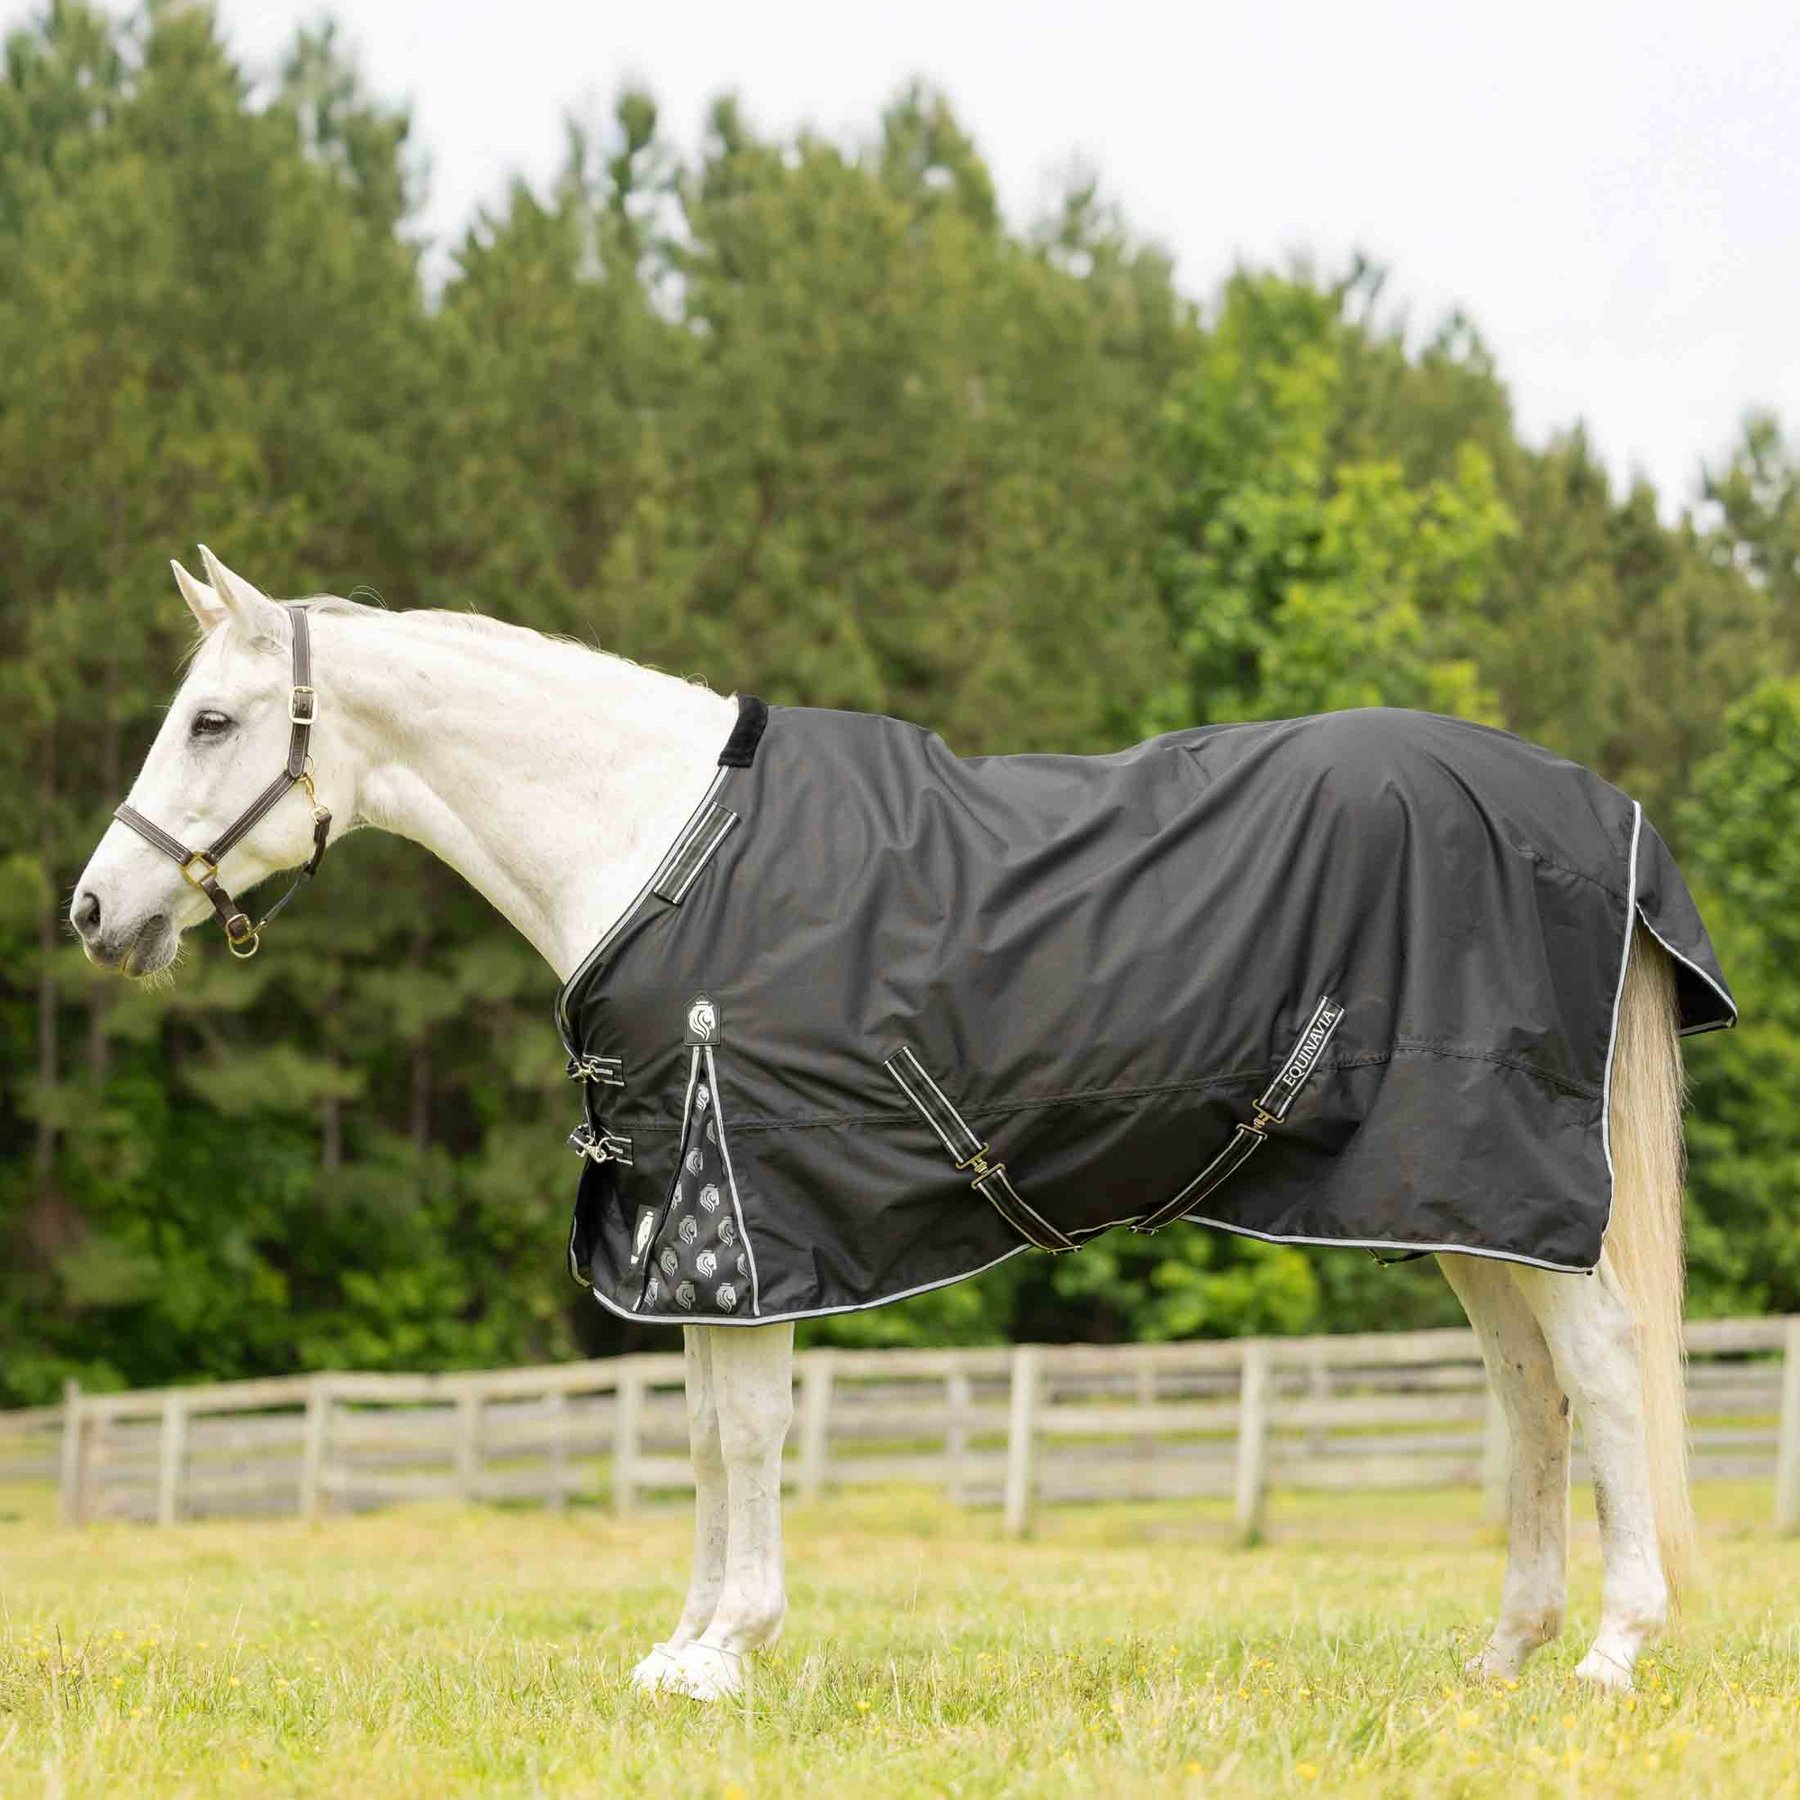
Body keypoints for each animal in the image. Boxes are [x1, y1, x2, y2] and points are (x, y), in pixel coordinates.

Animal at [72, 548, 1717, 1701]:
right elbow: (703, 1437)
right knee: (1532, 1397)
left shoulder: (750, 1205)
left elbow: (746, 1430)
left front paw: (726, 1650)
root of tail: (1599, 821)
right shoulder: (696, 1228)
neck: (664, 845)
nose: (95, 910)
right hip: (1460, 1202)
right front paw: (685, 1641)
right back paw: (1501, 1655)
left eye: (211, 720)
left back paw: (1611, 1651)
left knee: (1601, 1371)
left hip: (1525, 1192)